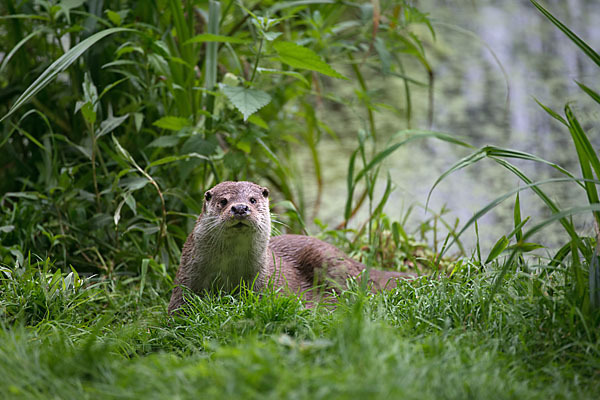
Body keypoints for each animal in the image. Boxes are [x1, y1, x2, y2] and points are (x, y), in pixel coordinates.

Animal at [168, 180, 412, 314]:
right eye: (223, 201)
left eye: (253, 200)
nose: (240, 208)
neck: (227, 272)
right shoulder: (187, 275)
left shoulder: (261, 283)